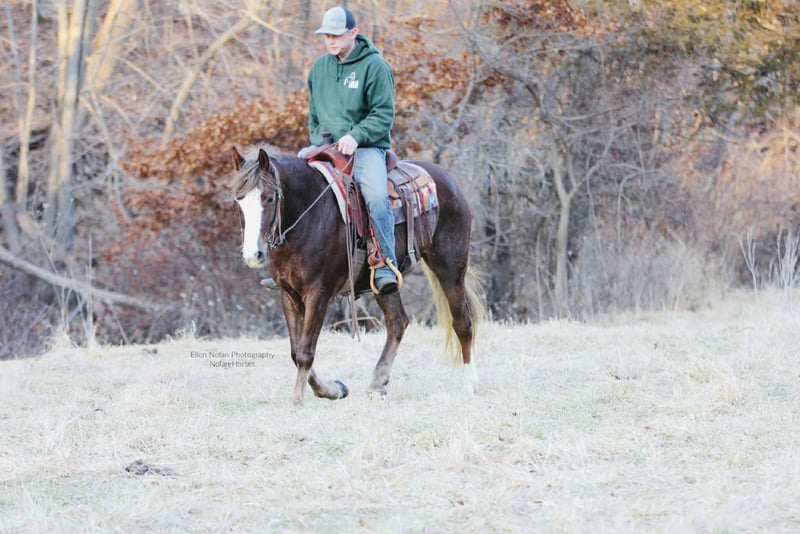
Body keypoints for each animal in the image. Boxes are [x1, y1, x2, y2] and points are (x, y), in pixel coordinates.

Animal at [230, 147, 485, 405]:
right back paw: (377, 381)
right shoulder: (288, 293)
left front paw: (299, 400)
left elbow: (305, 352)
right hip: (384, 284)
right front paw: (334, 389)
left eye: (269, 198)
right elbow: (295, 351)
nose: (253, 254)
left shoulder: (318, 292)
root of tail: (447, 179)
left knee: (462, 321)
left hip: (450, 268)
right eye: (239, 200)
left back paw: (470, 384)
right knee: (398, 321)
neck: (308, 215)